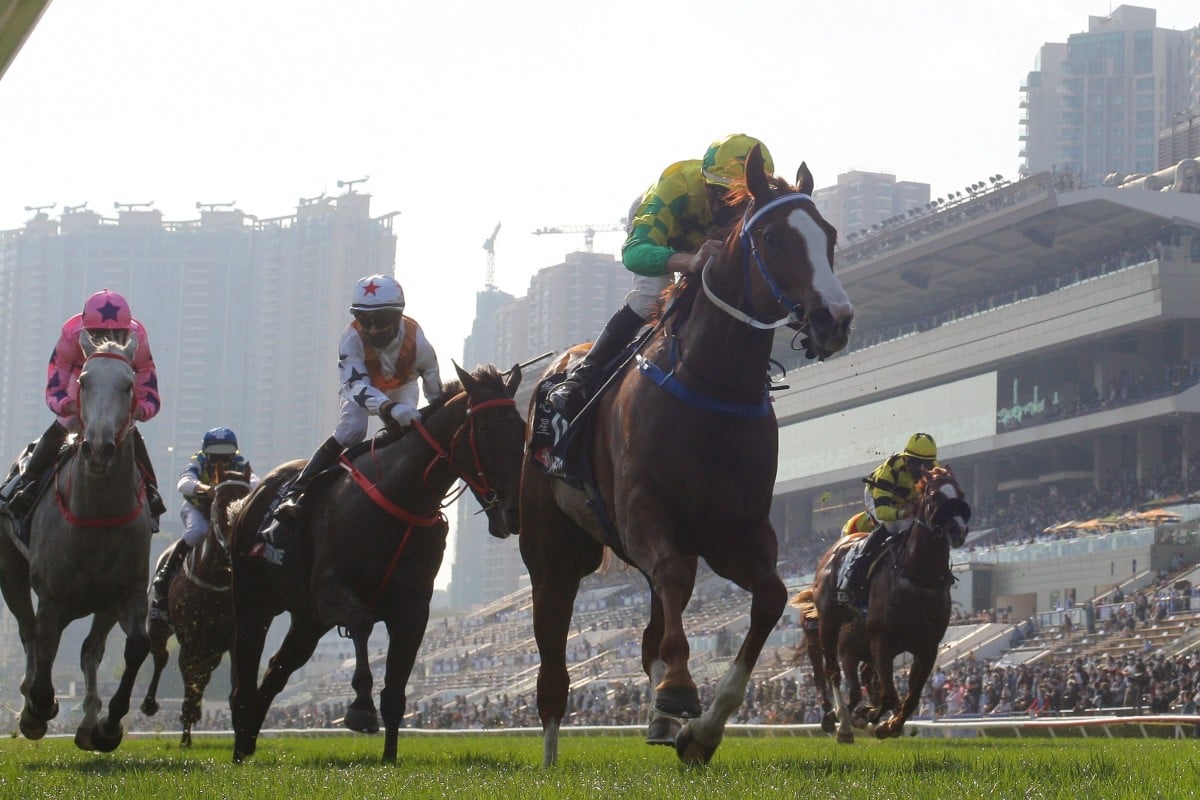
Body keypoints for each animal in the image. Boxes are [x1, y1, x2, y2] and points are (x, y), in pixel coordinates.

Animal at [139, 474, 254, 743]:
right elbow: (189, 679)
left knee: (204, 674)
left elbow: (231, 683)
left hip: (212, 647)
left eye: (246, 501)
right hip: (159, 625)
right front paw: (185, 734)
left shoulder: (232, 638)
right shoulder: (190, 639)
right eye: (218, 504)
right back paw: (150, 704)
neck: (215, 579)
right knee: (161, 656)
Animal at [226, 362, 523, 762]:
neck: (402, 497)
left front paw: (389, 758)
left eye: (522, 429)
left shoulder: (413, 610)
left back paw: (247, 743)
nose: (513, 512)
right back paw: (239, 749)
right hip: (254, 603)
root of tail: (247, 501)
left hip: (307, 622)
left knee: (275, 672)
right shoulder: (328, 591)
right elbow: (362, 623)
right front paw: (360, 708)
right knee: (245, 678)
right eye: (489, 430)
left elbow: (396, 692)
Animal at [516, 146, 854, 767]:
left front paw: (702, 729)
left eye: (830, 235)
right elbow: (673, 579)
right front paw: (677, 692)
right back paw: (552, 753)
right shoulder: (646, 514)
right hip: (552, 551)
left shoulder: (733, 531)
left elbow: (770, 595)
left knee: (652, 625)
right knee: (553, 656)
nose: (834, 319)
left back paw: (658, 720)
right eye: (772, 236)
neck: (711, 383)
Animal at [796, 465, 974, 743]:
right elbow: (887, 694)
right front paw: (871, 717)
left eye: (961, 494)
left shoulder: (927, 647)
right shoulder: (880, 639)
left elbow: (909, 698)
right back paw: (842, 724)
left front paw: (887, 724)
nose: (958, 530)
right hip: (828, 623)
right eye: (934, 496)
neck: (918, 577)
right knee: (830, 672)